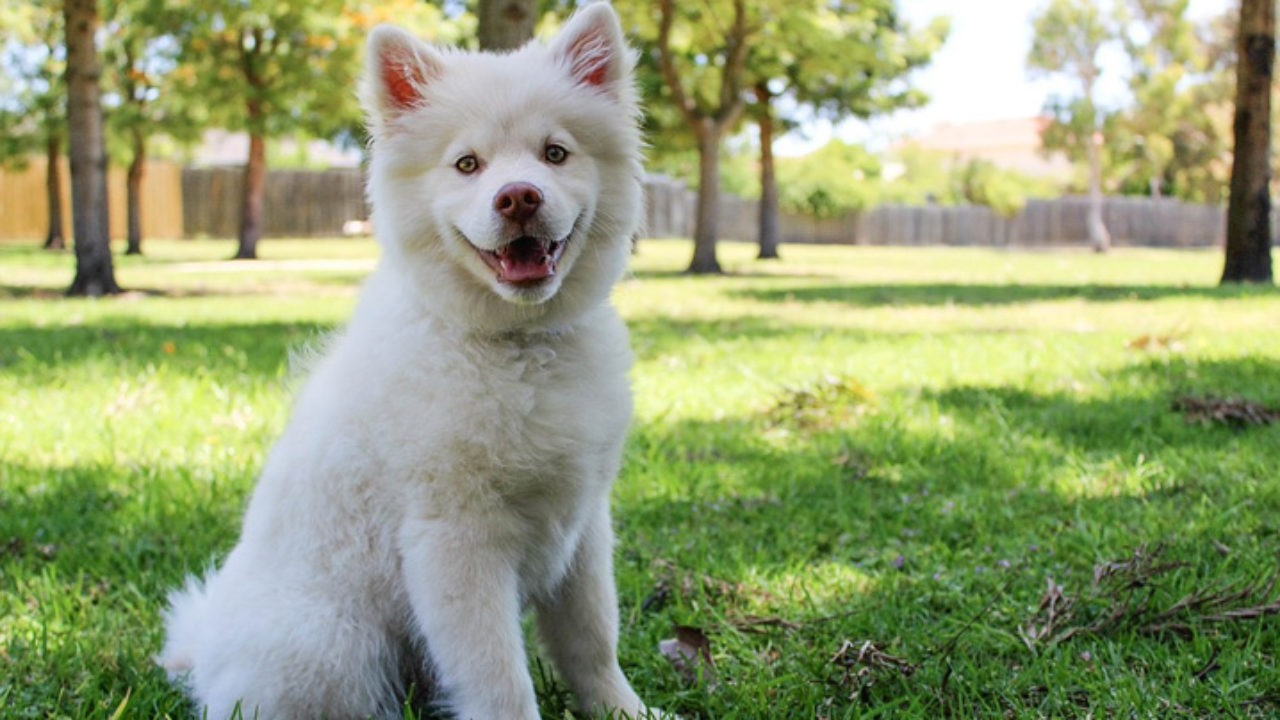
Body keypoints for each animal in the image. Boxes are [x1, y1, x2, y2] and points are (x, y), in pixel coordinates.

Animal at [158, 7, 660, 717]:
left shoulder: (583, 525)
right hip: (333, 648)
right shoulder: (455, 540)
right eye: (467, 164)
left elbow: (593, 642)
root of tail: (202, 654)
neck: (516, 345)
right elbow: (500, 678)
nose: (519, 198)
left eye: (555, 153)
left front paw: (627, 711)